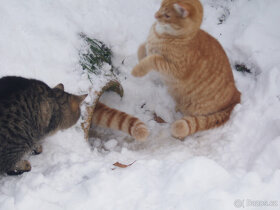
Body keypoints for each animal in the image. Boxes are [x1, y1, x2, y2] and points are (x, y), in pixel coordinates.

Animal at [132, 0, 241, 139]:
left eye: (167, 15)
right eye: (160, 6)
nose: (155, 15)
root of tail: (236, 95)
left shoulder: (175, 69)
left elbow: (154, 58)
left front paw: (138, 70)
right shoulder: (149, 45)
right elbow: (142, 48)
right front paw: (141, 58)